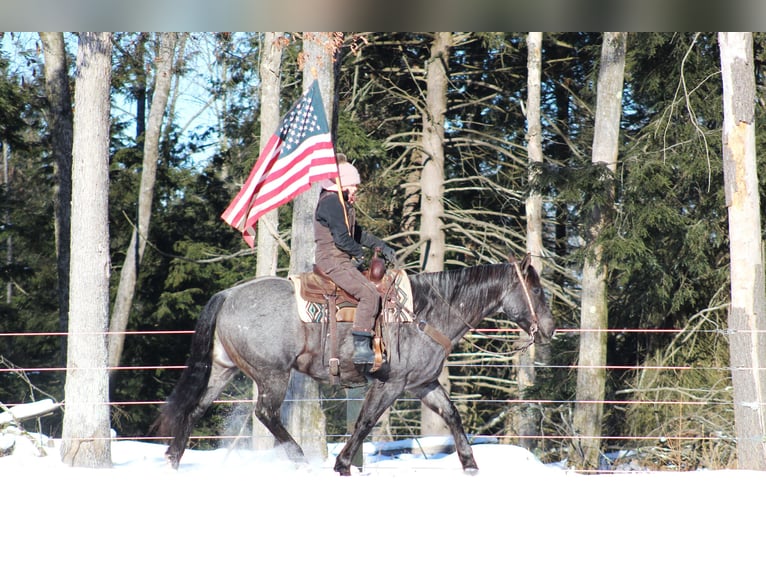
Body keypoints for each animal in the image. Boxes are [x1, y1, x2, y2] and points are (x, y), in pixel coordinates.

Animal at [156, 253, 556, 476]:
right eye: (537, 290)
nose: (550, 329)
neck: (426, 312)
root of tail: (228, 294)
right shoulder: (390, 383)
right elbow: (366, 421)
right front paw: (343, 464)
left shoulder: (423, 383)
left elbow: (452, 415)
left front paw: (470, 464)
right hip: (272, 374)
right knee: (266, 413)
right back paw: (301, 460)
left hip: (223, 369)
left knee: (195, 409)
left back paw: (173, 460)